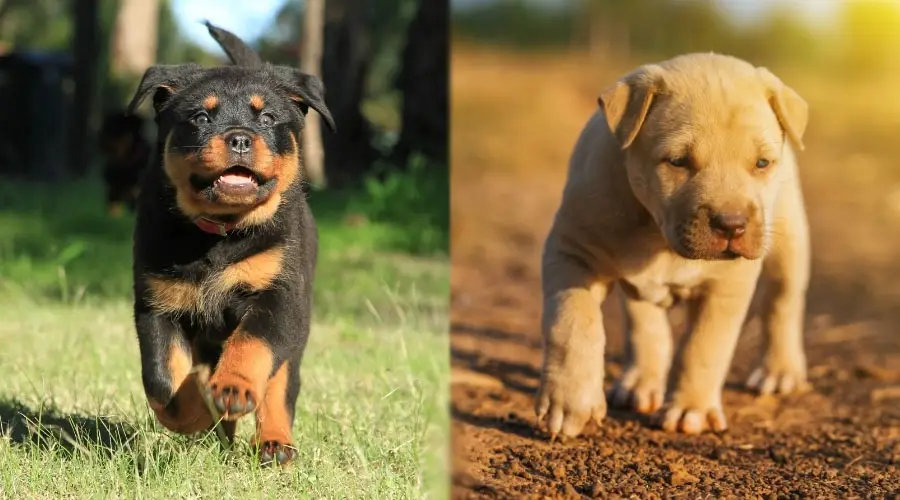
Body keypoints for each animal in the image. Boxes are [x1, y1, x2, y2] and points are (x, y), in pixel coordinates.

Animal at [128, 21, 336, 466]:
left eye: (269, 117)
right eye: (201, 116)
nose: (239, 137)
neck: (220, 234)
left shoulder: (279, 296)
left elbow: (252, 344)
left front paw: (231, 389)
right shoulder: (156, 304)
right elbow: (162, 382)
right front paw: (197, 409)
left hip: (298, 329)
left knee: (280, 384)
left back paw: (274, 443)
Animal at [536, 52, 808, 438]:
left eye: (762, 163)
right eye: (678, 161)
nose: (732, 224)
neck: (657, 234)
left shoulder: (726, 286)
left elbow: (703, 346)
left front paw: (690, 410)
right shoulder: (571, 252)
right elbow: (573, 324)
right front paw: (571, 403)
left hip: (788, 241)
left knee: (782, 302)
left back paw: (779, 371)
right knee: (645, 324)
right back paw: (640, 383)